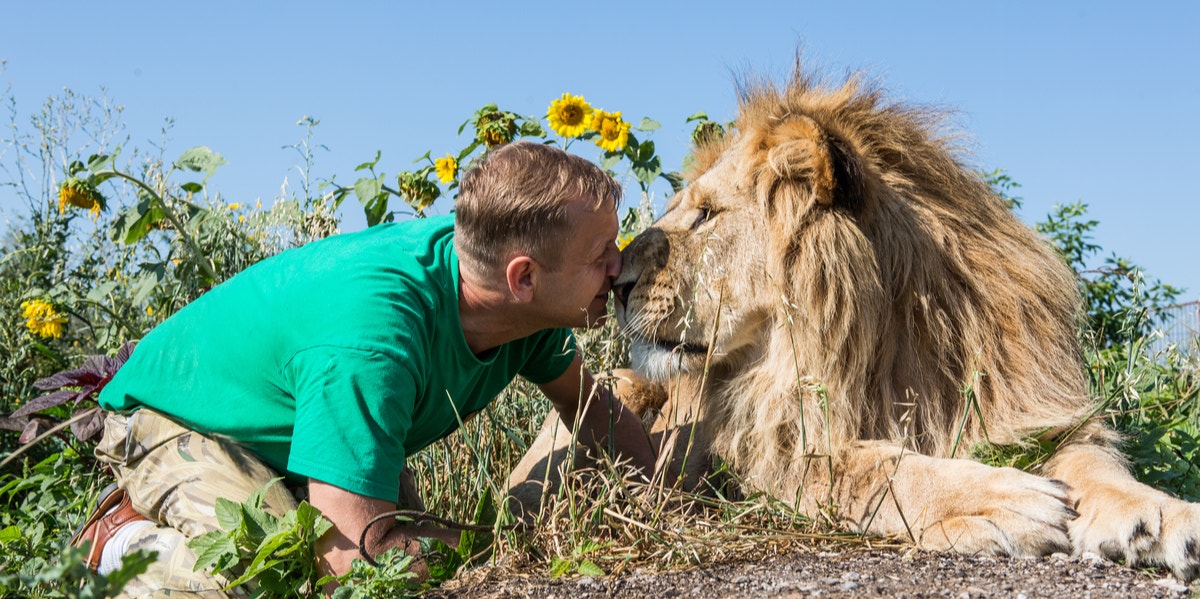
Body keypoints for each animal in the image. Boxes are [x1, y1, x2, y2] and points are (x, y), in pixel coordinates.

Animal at [504, 62, 1200, 580]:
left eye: (705, 215)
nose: (616, 283)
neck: (887, 340)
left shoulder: (1025, 409)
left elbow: (1095, 463)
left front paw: (1164, 518)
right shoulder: (762, 457)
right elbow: (876, 468)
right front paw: (1005, 500)